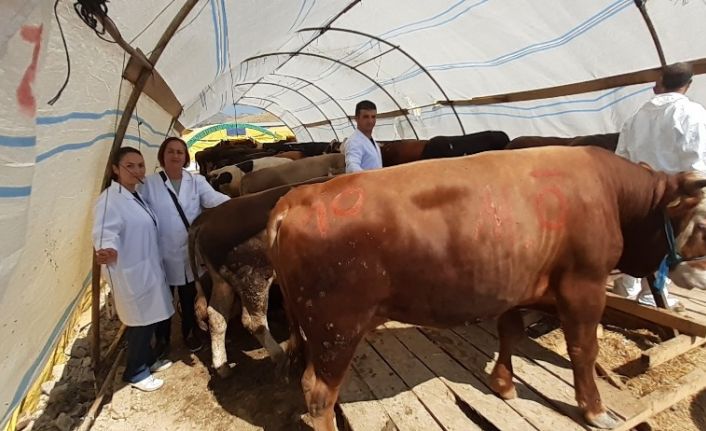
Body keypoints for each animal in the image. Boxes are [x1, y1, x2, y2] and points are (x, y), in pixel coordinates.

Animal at [264, 147, 704, 430]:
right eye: (701, 222)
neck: (612, 192)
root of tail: (298, 197)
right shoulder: (584, 283)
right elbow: (583, 349)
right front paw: (595, 411)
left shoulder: (514, 284)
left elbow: (510, 332)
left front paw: (503, 385)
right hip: (337, 328)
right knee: (320, 393)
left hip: (314, 329)